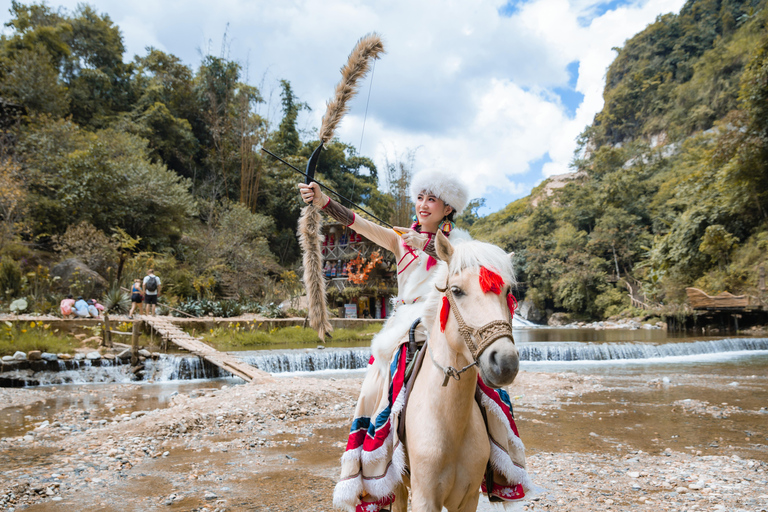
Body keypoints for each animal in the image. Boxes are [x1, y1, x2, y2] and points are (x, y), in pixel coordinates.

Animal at [392, 233, 524, 512]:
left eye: (507, 291)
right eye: (456, 291)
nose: (505, 362)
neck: (450, 425)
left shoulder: (468, 497)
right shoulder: (424, 497)